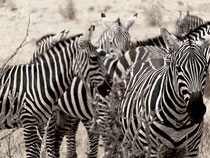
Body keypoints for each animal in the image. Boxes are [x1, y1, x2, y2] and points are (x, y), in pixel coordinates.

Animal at [120, 27, 209, 157]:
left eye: (205, 68)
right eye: (178, 68)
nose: (196, 110)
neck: (179, 118)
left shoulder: (192, 149)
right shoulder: (153, 150)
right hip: (129, 144)